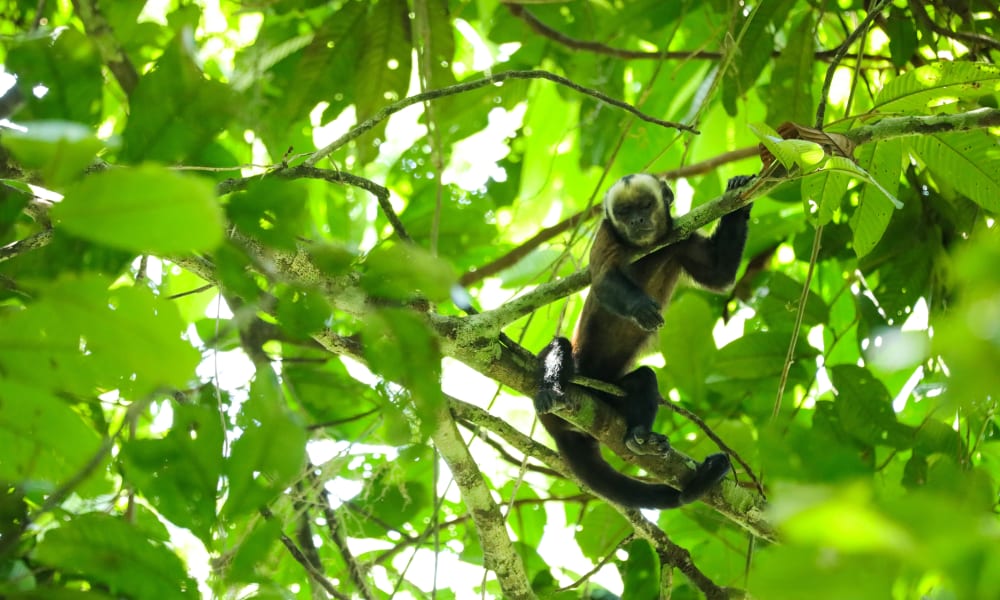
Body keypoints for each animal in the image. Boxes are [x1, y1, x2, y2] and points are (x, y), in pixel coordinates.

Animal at [535, 173, 754, 509]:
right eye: (624, 212)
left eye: (646, 205)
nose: (637, 220)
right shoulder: (606, 234)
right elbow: (603, 280)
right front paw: (640, 308)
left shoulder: (680, 239)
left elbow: (720, 275)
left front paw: (738, 201)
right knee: (560, 346)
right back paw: (549, 390)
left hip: (609, 394)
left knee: (644, 380)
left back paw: (637, 438)